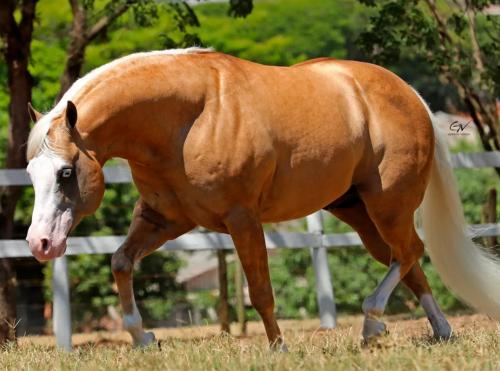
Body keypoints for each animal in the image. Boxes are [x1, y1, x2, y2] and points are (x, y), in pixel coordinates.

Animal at [26, 48, 500, 350]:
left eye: (66, 172)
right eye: (31, 174)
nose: (40, 244)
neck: (188, 118)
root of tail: (409, 95)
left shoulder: (242, 219)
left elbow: (260, 291)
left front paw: (279, 348)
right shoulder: (164, 218)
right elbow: (121, 262)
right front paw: (143, 338)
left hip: (388, 204)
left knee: (411, 251)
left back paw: (371, 323)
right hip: (357, 211)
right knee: (406, 259)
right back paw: (436, 331)